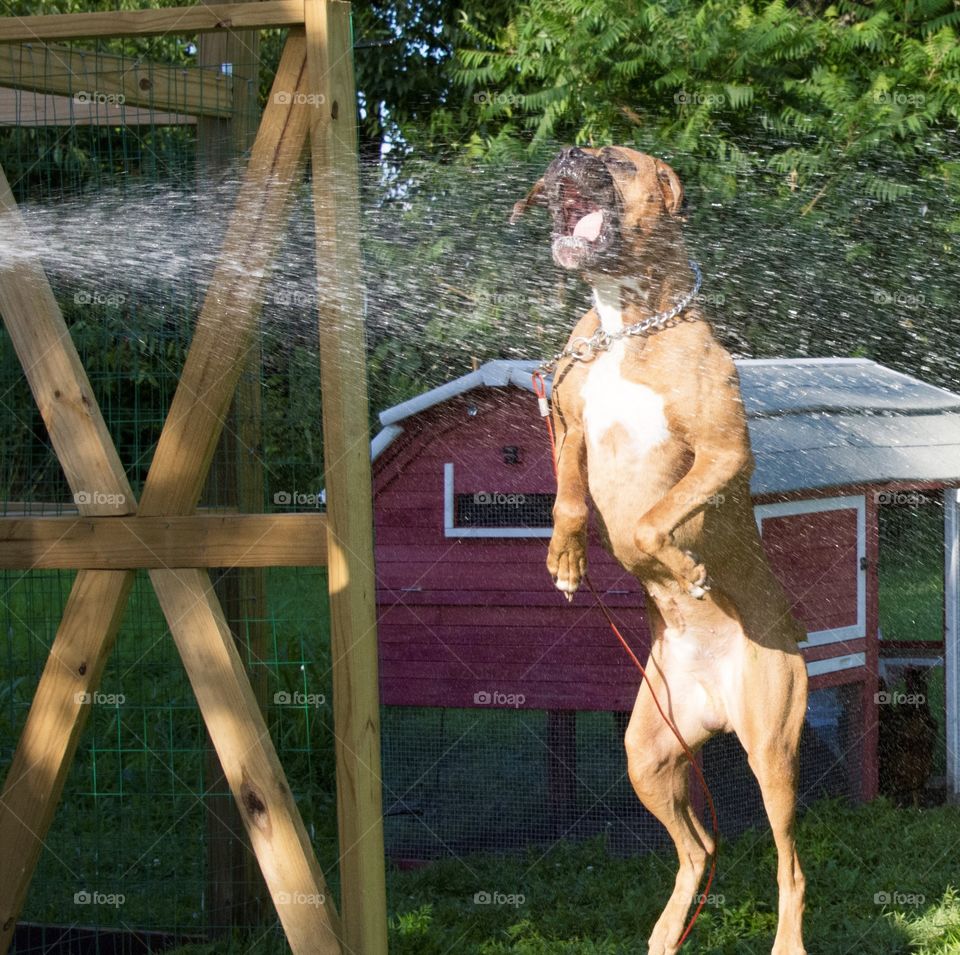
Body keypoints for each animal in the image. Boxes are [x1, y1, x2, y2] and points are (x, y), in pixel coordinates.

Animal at [512, 144, 808, 955]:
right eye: (579, 147)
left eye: (614, 159)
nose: (566, 152)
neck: (628, 321)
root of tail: (712, 704)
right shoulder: (570, 425)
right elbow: (571, 499)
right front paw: (567, 555)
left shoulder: (723, 453)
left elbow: (648, 524)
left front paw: (676, 566)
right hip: (648, 753)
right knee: (700, 848)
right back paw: (670, 928)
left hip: (771, 747)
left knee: (790, 867)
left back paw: (787, 940)